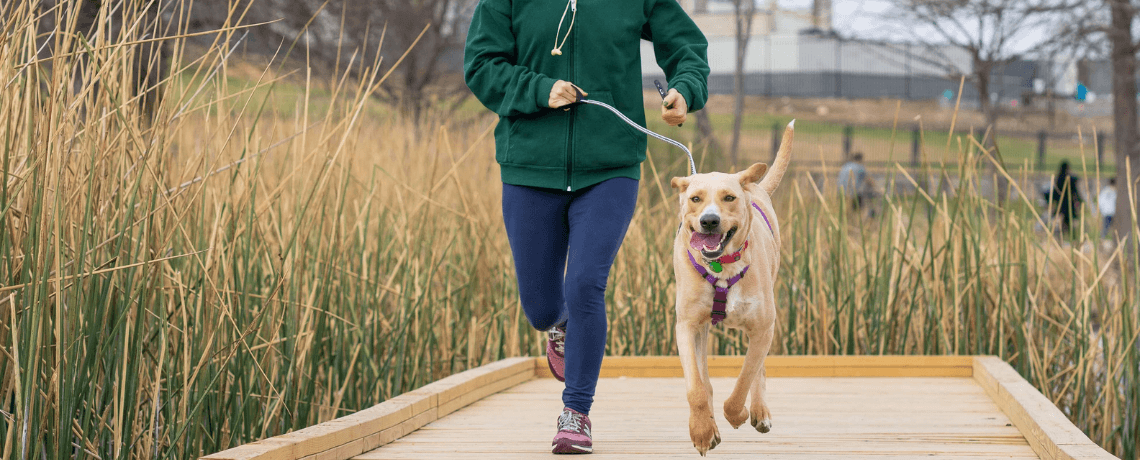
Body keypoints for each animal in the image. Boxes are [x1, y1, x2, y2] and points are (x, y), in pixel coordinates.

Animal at [665, 120, 793, 455]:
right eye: (695, 198)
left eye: (729, 198)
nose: (709, 221)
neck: (721, 267)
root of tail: (755, 185)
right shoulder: (687, 326)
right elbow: (696, 387)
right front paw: (701, 431)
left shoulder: (762, 329)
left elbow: (745, 379)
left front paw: (738, 414)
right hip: (703, 330)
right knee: (705, 379)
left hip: (766, 322)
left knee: (758, 370)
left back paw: (759, 411)